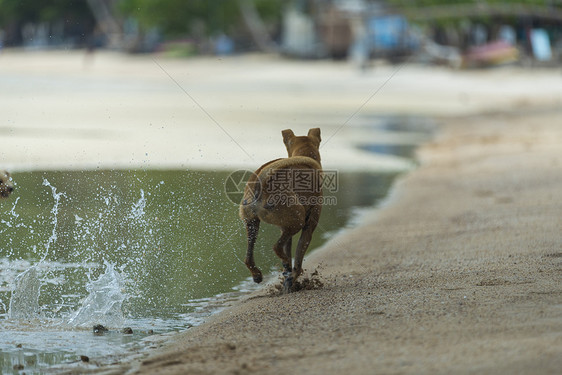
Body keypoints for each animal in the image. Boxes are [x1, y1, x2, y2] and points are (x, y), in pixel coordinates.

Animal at [238, 129, 322, 294]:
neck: (305, 154)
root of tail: (260, 185)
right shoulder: (308, 227)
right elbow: (298, 260)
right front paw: (291, 279)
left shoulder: (285, 229)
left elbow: (289, 256)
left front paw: (287, 283)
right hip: (298, 221)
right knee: (276, 247)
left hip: (252, 223)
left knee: (249, 257)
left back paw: (258, 274)